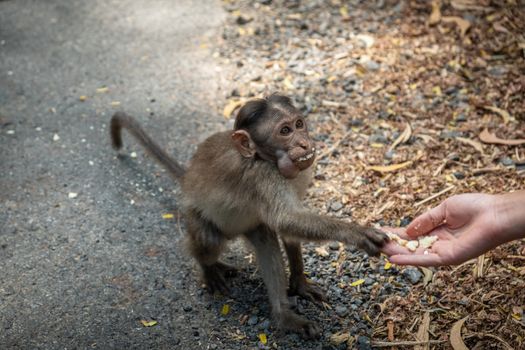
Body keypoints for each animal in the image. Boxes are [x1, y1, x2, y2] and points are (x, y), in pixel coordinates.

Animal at [109, 94, 388, 338]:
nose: (304, 143)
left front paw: (299, 282)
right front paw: (357, 233)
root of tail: (187, 180)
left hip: (247, 225)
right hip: (195, 215)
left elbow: (288, 228)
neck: (266, 159)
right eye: (285, 131)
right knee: (210, 241)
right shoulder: (264, 178)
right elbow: (287, 219)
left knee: (264, 237)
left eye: (299, 124)